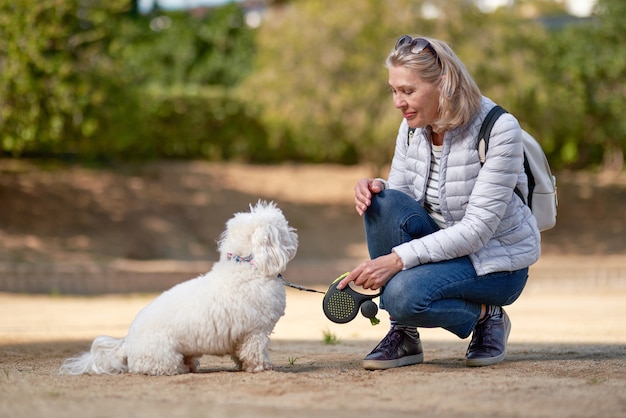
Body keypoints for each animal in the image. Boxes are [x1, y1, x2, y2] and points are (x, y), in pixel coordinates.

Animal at [59, 200, 298, 376]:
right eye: (284, 229)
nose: (296, 234)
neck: (247, 265)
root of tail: (127, 345)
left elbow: (240, 353)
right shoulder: (256, 331)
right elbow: (256, 352)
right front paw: (262, 367)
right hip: (166, 357)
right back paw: (183, 368)